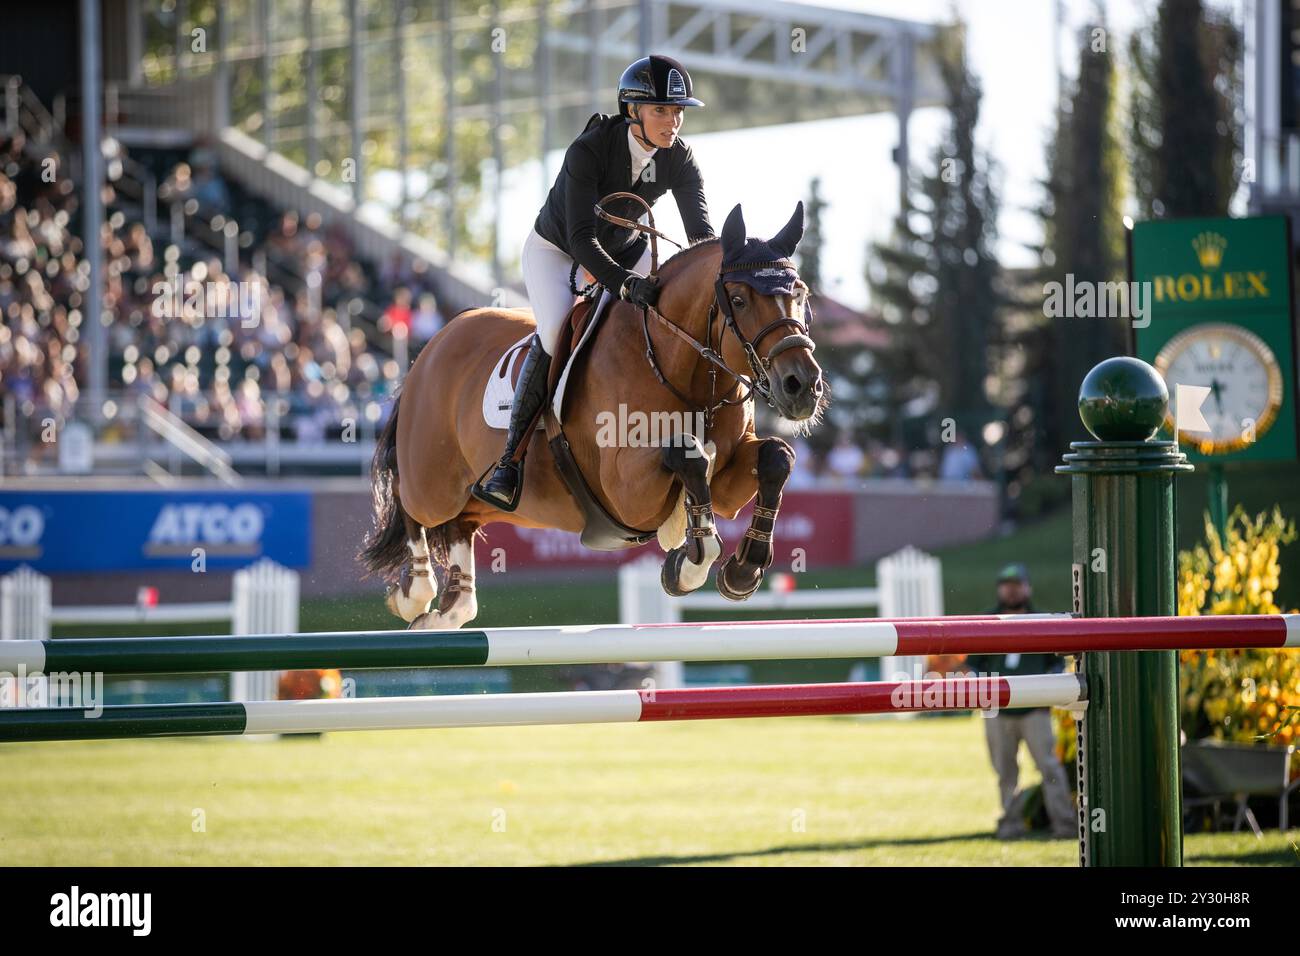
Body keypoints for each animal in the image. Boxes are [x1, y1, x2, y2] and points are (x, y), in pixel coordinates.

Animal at [358, 201, 821, 632]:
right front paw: (690, 564)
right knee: (408, 499)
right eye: (739, 300)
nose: (802, 386)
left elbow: (776, 457)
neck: (679, 369)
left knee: (460, 528)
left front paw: (743, 569)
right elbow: (688, 454)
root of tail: (432, 347)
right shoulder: (626, 491)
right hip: (433, 482)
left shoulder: (725, 486)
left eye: (801, 295)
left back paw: (449, 608)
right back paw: (415, 593)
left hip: (488, 501)